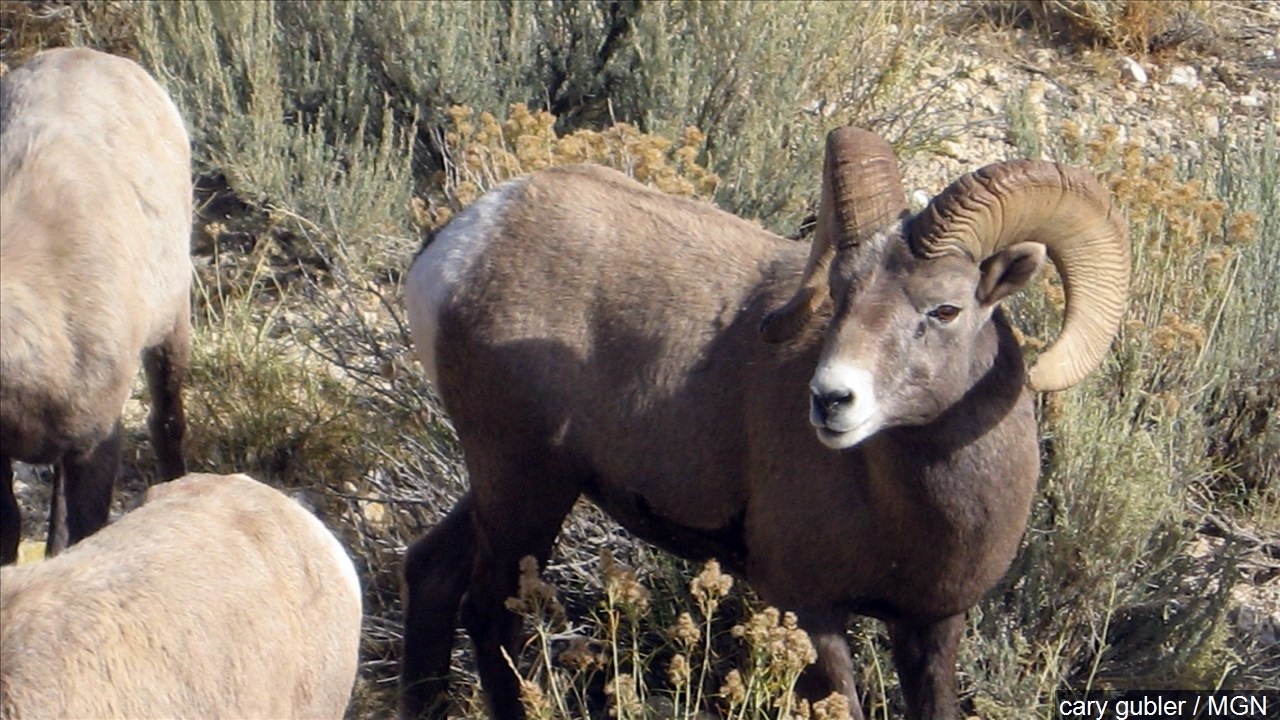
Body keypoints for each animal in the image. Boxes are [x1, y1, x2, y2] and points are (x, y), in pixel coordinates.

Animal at [398, 126, 1130, 720]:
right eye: (840, 296)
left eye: (945, 310)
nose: (831, 401)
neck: (912, 510)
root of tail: (460, 247)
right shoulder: (809, 610)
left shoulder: (931, 625)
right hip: (527, 485)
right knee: (488, 613)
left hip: (517, 482)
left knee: (431, 573)